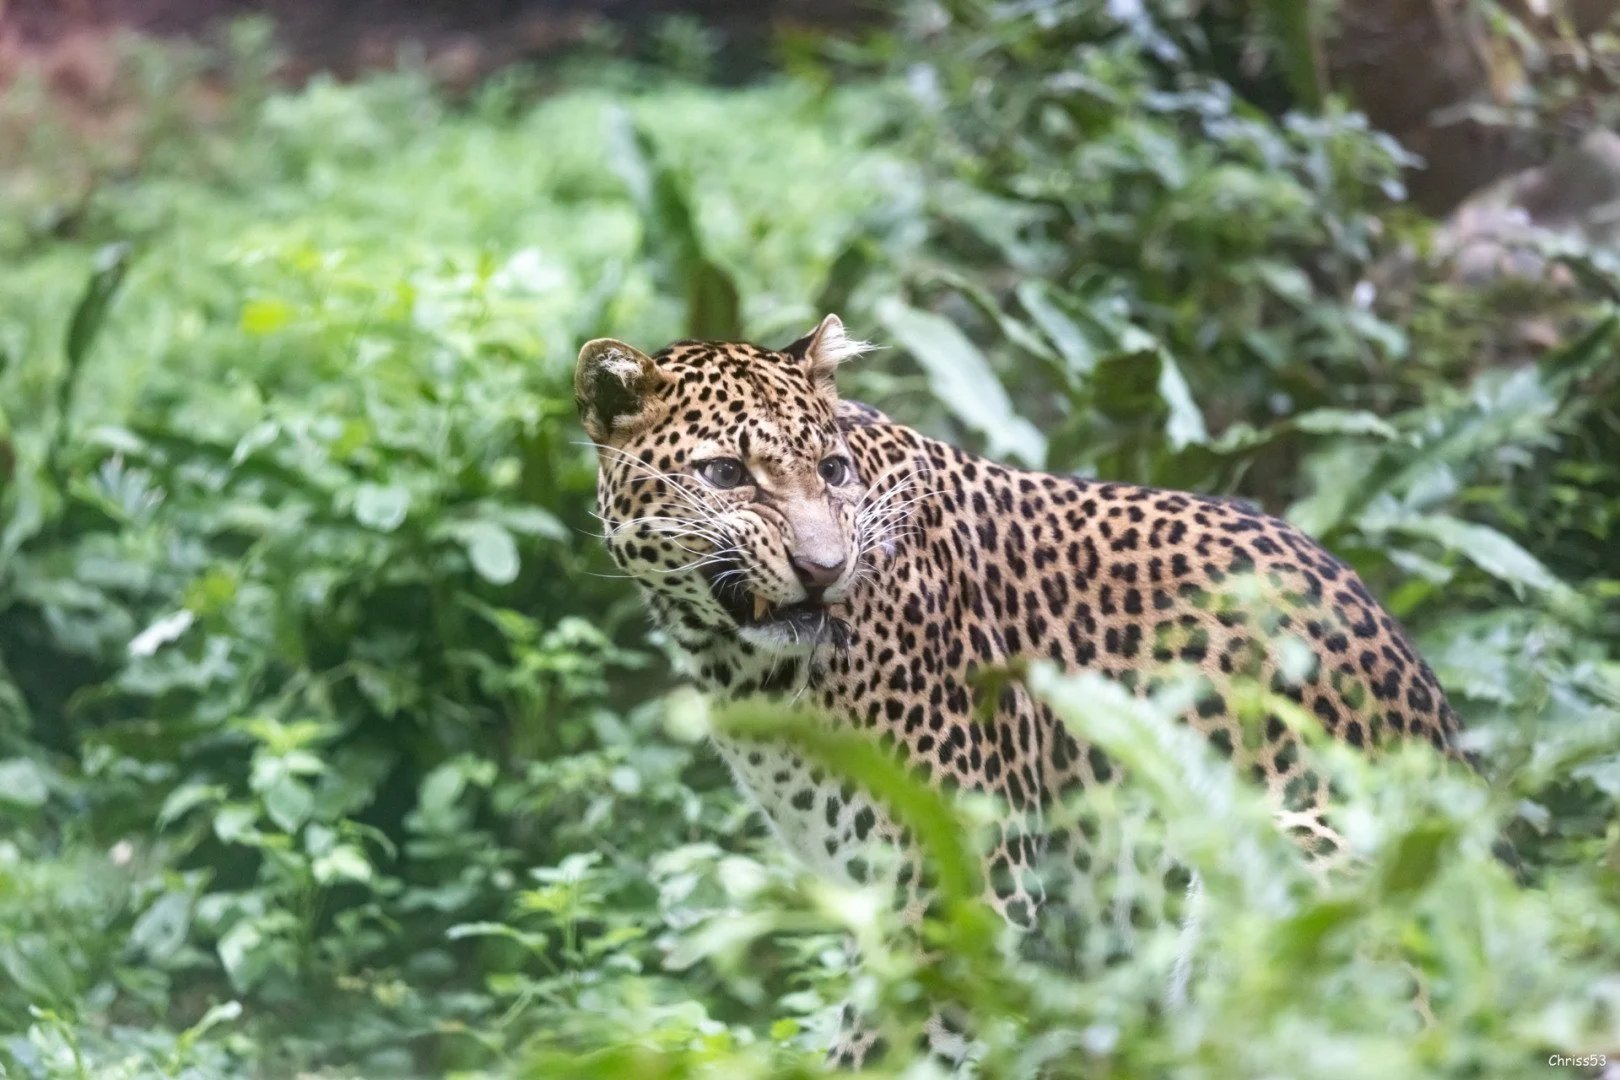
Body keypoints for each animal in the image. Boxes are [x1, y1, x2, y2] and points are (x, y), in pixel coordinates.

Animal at [574, 314, 1464, 1068]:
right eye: (724, 474)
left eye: (830, 470)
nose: (825, 569)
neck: (744, 664)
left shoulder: (961, 875)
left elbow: (883, 1047)